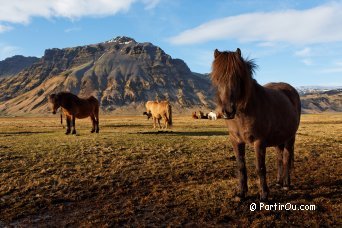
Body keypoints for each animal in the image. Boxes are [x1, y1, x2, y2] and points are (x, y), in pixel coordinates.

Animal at [211, 47, 300, 200]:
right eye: (217, 78)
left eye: (237, 77)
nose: (228, 111)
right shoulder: (236, 141)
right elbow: (241, 167)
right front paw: (241, 194)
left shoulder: (259, 142)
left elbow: (260, 168)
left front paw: (264, 196)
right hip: (279, 139)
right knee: (279, 158)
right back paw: (278, 182)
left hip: (290, 137)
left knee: (286, 158)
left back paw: (286, 184)